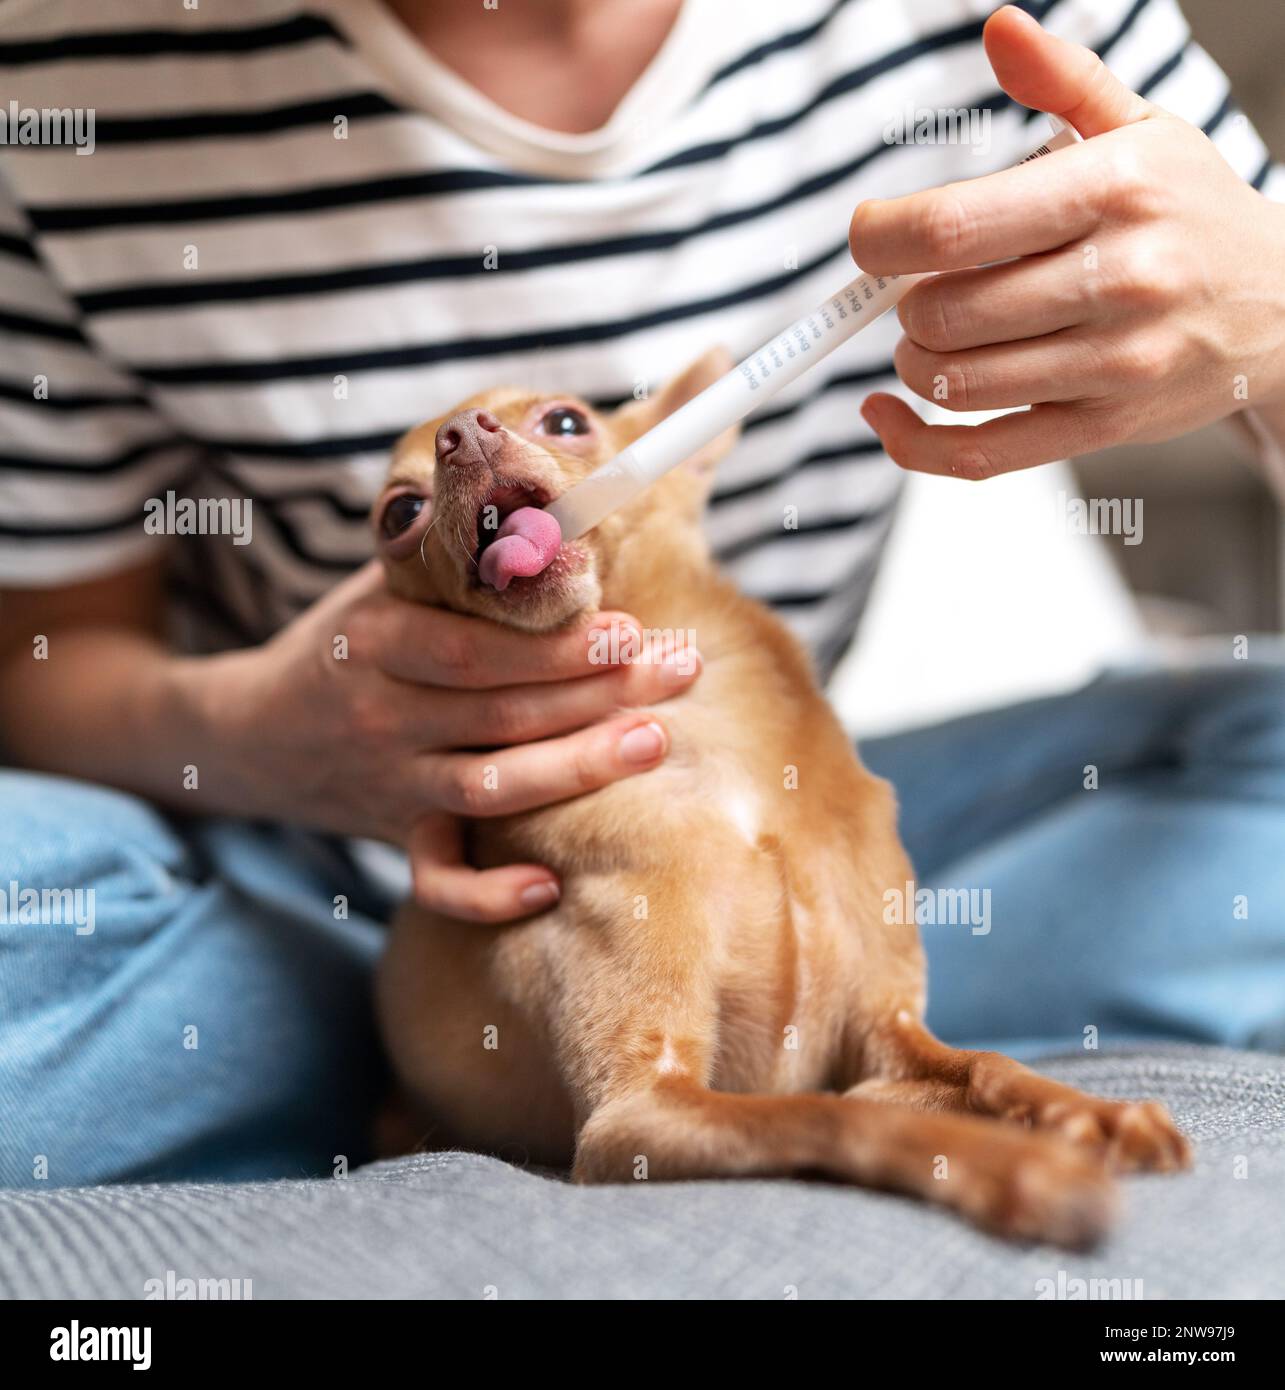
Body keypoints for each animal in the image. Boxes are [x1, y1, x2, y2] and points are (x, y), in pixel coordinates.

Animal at [367, 350, 1190, 1251]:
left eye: (565, 421)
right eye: (398, 515)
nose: (459, 433)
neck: (712, 748)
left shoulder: (884, 1039)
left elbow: (987, 1064)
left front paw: (1086, 1113)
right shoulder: (639, 1113)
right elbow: (835, 1116)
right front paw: (1016, 1165)